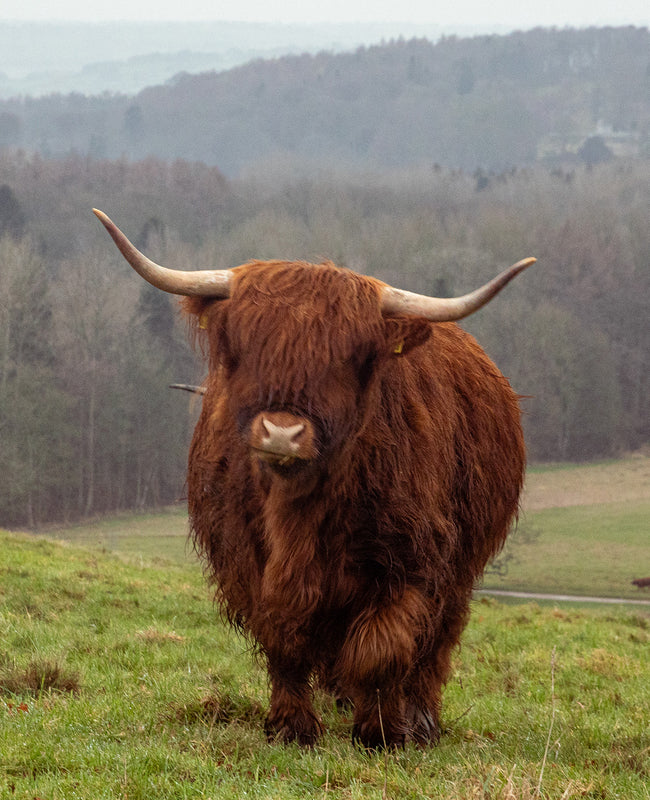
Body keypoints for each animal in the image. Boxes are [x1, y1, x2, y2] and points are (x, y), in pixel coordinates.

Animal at [94, 208, 534, 748]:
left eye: (350, 358)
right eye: (246, 347)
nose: (282, 433)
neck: (298, 511)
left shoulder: (411, 560)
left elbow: (380, 649)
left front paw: (381, 731)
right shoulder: (248, 561)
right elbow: (283, 640)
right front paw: (292, 726)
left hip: (461, 568)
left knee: (436, 642)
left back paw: (421, 720)